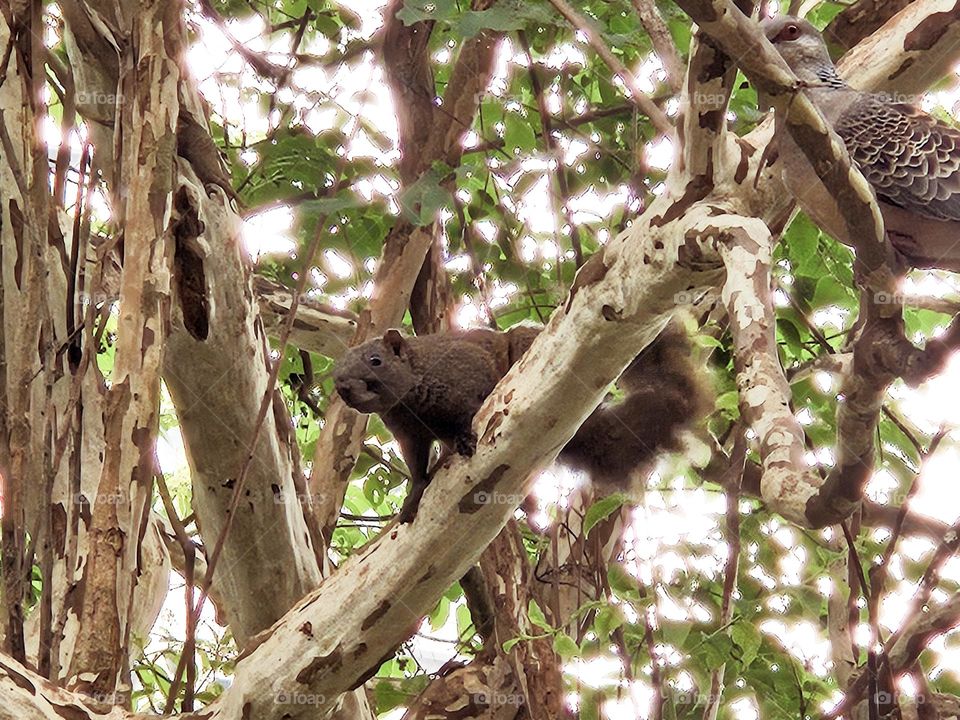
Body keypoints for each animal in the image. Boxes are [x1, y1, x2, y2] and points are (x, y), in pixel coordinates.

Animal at [332, 322, 708, 523]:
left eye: (376, 361)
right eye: (338, 371)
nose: (344, 388)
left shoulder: (466, 372)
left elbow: (469, 412)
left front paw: (464, 439)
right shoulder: (407, 432)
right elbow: (416, 463)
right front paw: (415, 493)